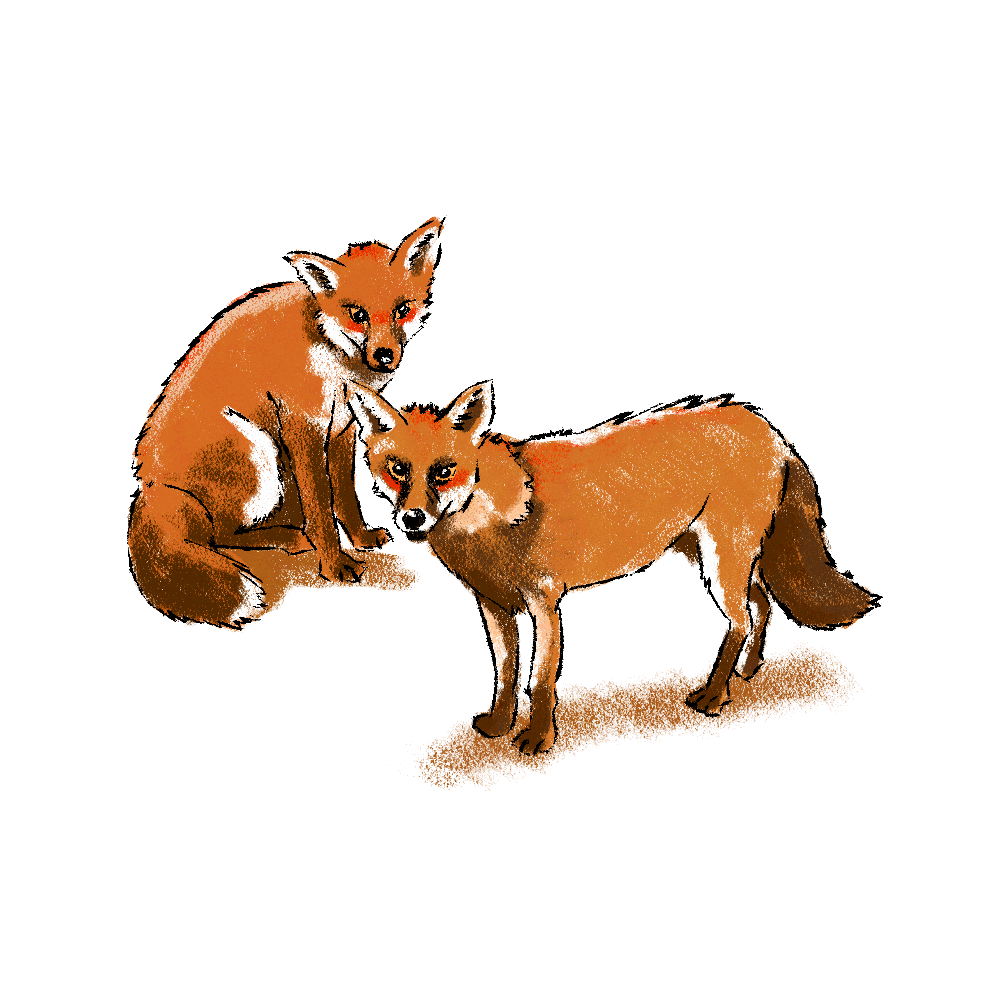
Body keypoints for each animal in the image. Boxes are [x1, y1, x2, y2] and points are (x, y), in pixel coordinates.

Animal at [129, 217, 443, 628]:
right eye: (357, 314)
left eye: (402, 309)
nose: (384, 356)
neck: (333, 354)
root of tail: (149, 484)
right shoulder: (302, 428)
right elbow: (321, 508)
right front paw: (335, 565)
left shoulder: (342, 429)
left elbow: (345, 496)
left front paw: (360, 539)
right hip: (259, 453)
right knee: (221, 534)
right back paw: (290, 538)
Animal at [347, 380, 879, 754]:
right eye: (397, 469)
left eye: (443, 471)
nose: (412, 518)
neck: (496, 516)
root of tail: (764, 424)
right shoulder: (493, 605)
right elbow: (505, 674)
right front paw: (498, 725)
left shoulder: (545, 603)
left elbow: (538, 679)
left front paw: (537, 740)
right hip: (716, 559)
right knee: (761, 608)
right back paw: (745, 674)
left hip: (720, 561)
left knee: (742, 619)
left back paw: (713, 696)